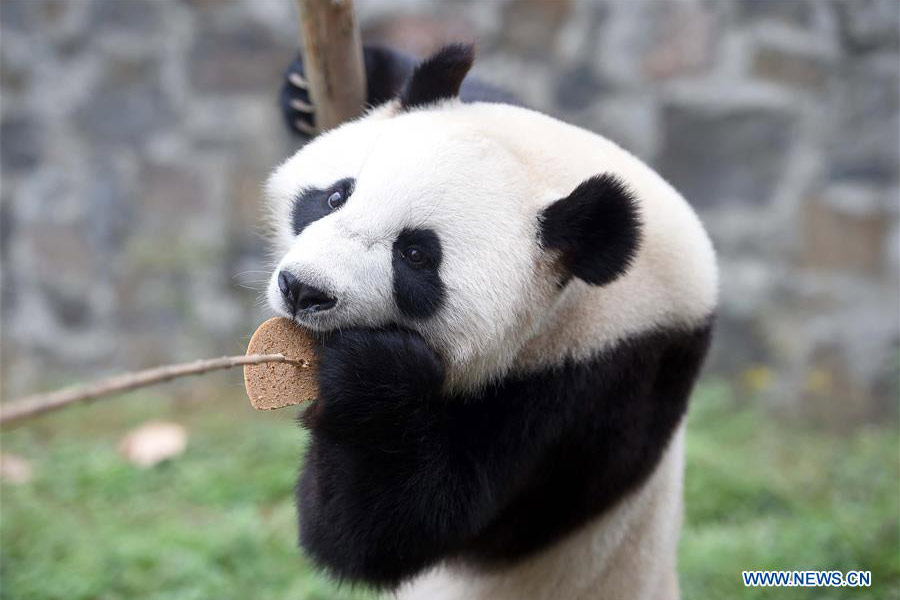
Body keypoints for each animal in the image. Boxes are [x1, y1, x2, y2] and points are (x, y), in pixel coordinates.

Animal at [265, 44, 717, 600]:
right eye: (335, 196)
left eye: (415, 255)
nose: (303, 289)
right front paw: (310, 89)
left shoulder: (595, 389)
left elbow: (384, 531)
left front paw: (368, 375)